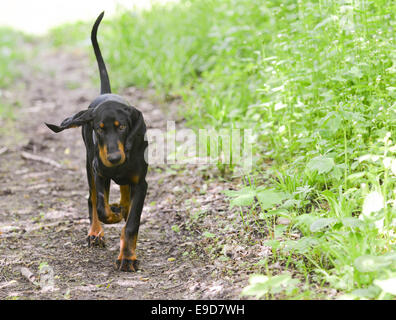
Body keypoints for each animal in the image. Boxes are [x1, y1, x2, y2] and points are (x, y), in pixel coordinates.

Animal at [44, 12, 147, 272]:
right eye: (98, 129)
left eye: (122, 127)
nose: (114, 158)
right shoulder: (99, 171)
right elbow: (101, 207)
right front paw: (112, 216)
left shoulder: (141, 182)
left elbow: (132, 223)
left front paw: (127, 257)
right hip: (90, 163)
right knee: (92, 199)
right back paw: (96, 232)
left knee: (124, 192)